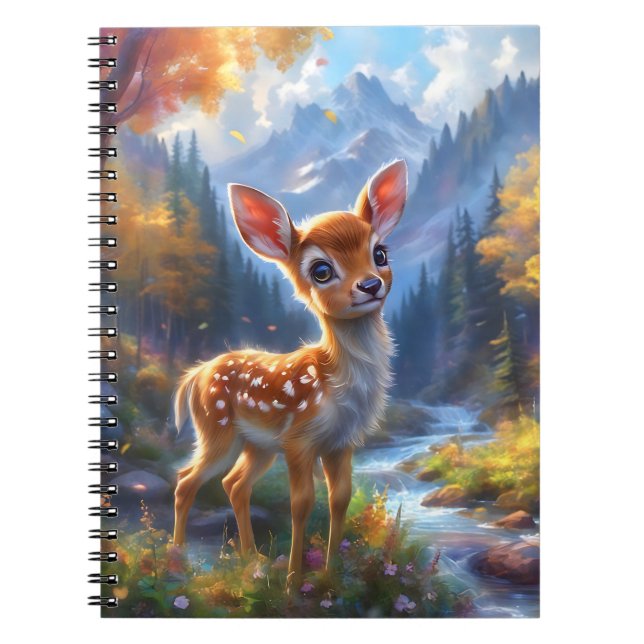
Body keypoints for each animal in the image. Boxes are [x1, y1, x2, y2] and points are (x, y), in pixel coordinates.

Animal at [172, 159, 408, 591]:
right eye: (321, 270)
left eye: (380, 253)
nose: (370, 285)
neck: (334, 381)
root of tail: (195, 374)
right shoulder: (300, 439)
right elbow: (301, 504)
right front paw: (295, 582)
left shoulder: (341, 442)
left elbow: (339, 499)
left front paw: (332, 575)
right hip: (217, 429)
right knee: (187, 481)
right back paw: (176, 560)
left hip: (258, 444)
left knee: (234, 484)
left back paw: (252, 558)